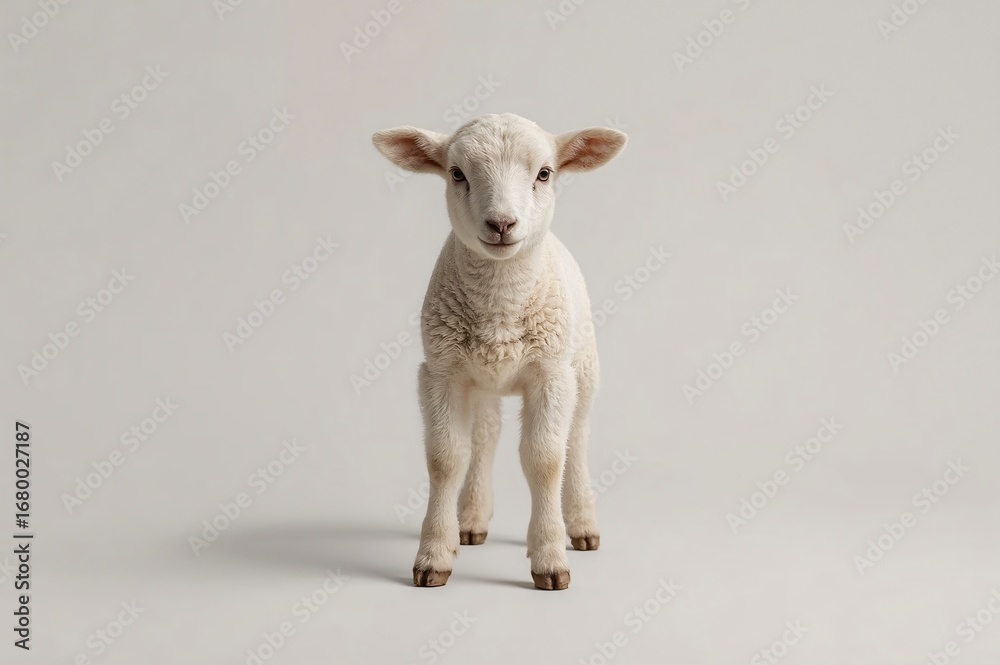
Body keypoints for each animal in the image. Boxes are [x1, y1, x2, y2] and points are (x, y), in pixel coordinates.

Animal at [372, 113, 627, 590]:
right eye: (457, 173)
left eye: (544, 173)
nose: (502, 224)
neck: (500, 307)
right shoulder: (441, 372)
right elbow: (445, 458)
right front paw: (435, 554)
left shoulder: (550, 373)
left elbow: (546, 459)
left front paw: (549, 558)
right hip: (482, 381)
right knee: (485, 437)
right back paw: (471, 520)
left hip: (583, 368)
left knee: (577, 440)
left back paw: (582, 525)